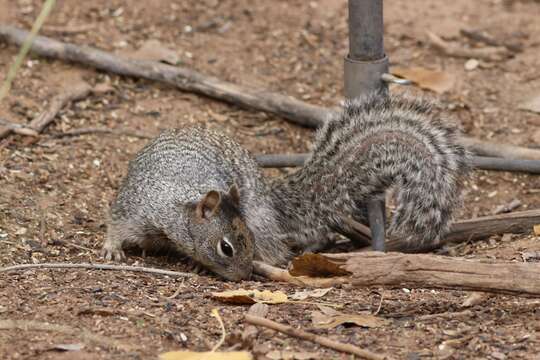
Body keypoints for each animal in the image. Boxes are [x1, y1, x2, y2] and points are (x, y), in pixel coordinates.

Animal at [101, 92, 468, 278]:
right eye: (226, 247)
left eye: (246, 240)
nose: (243, 276)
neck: (179, 208)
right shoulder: (138, 207)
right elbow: (118, 222)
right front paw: (111, 247)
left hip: (260, 217)